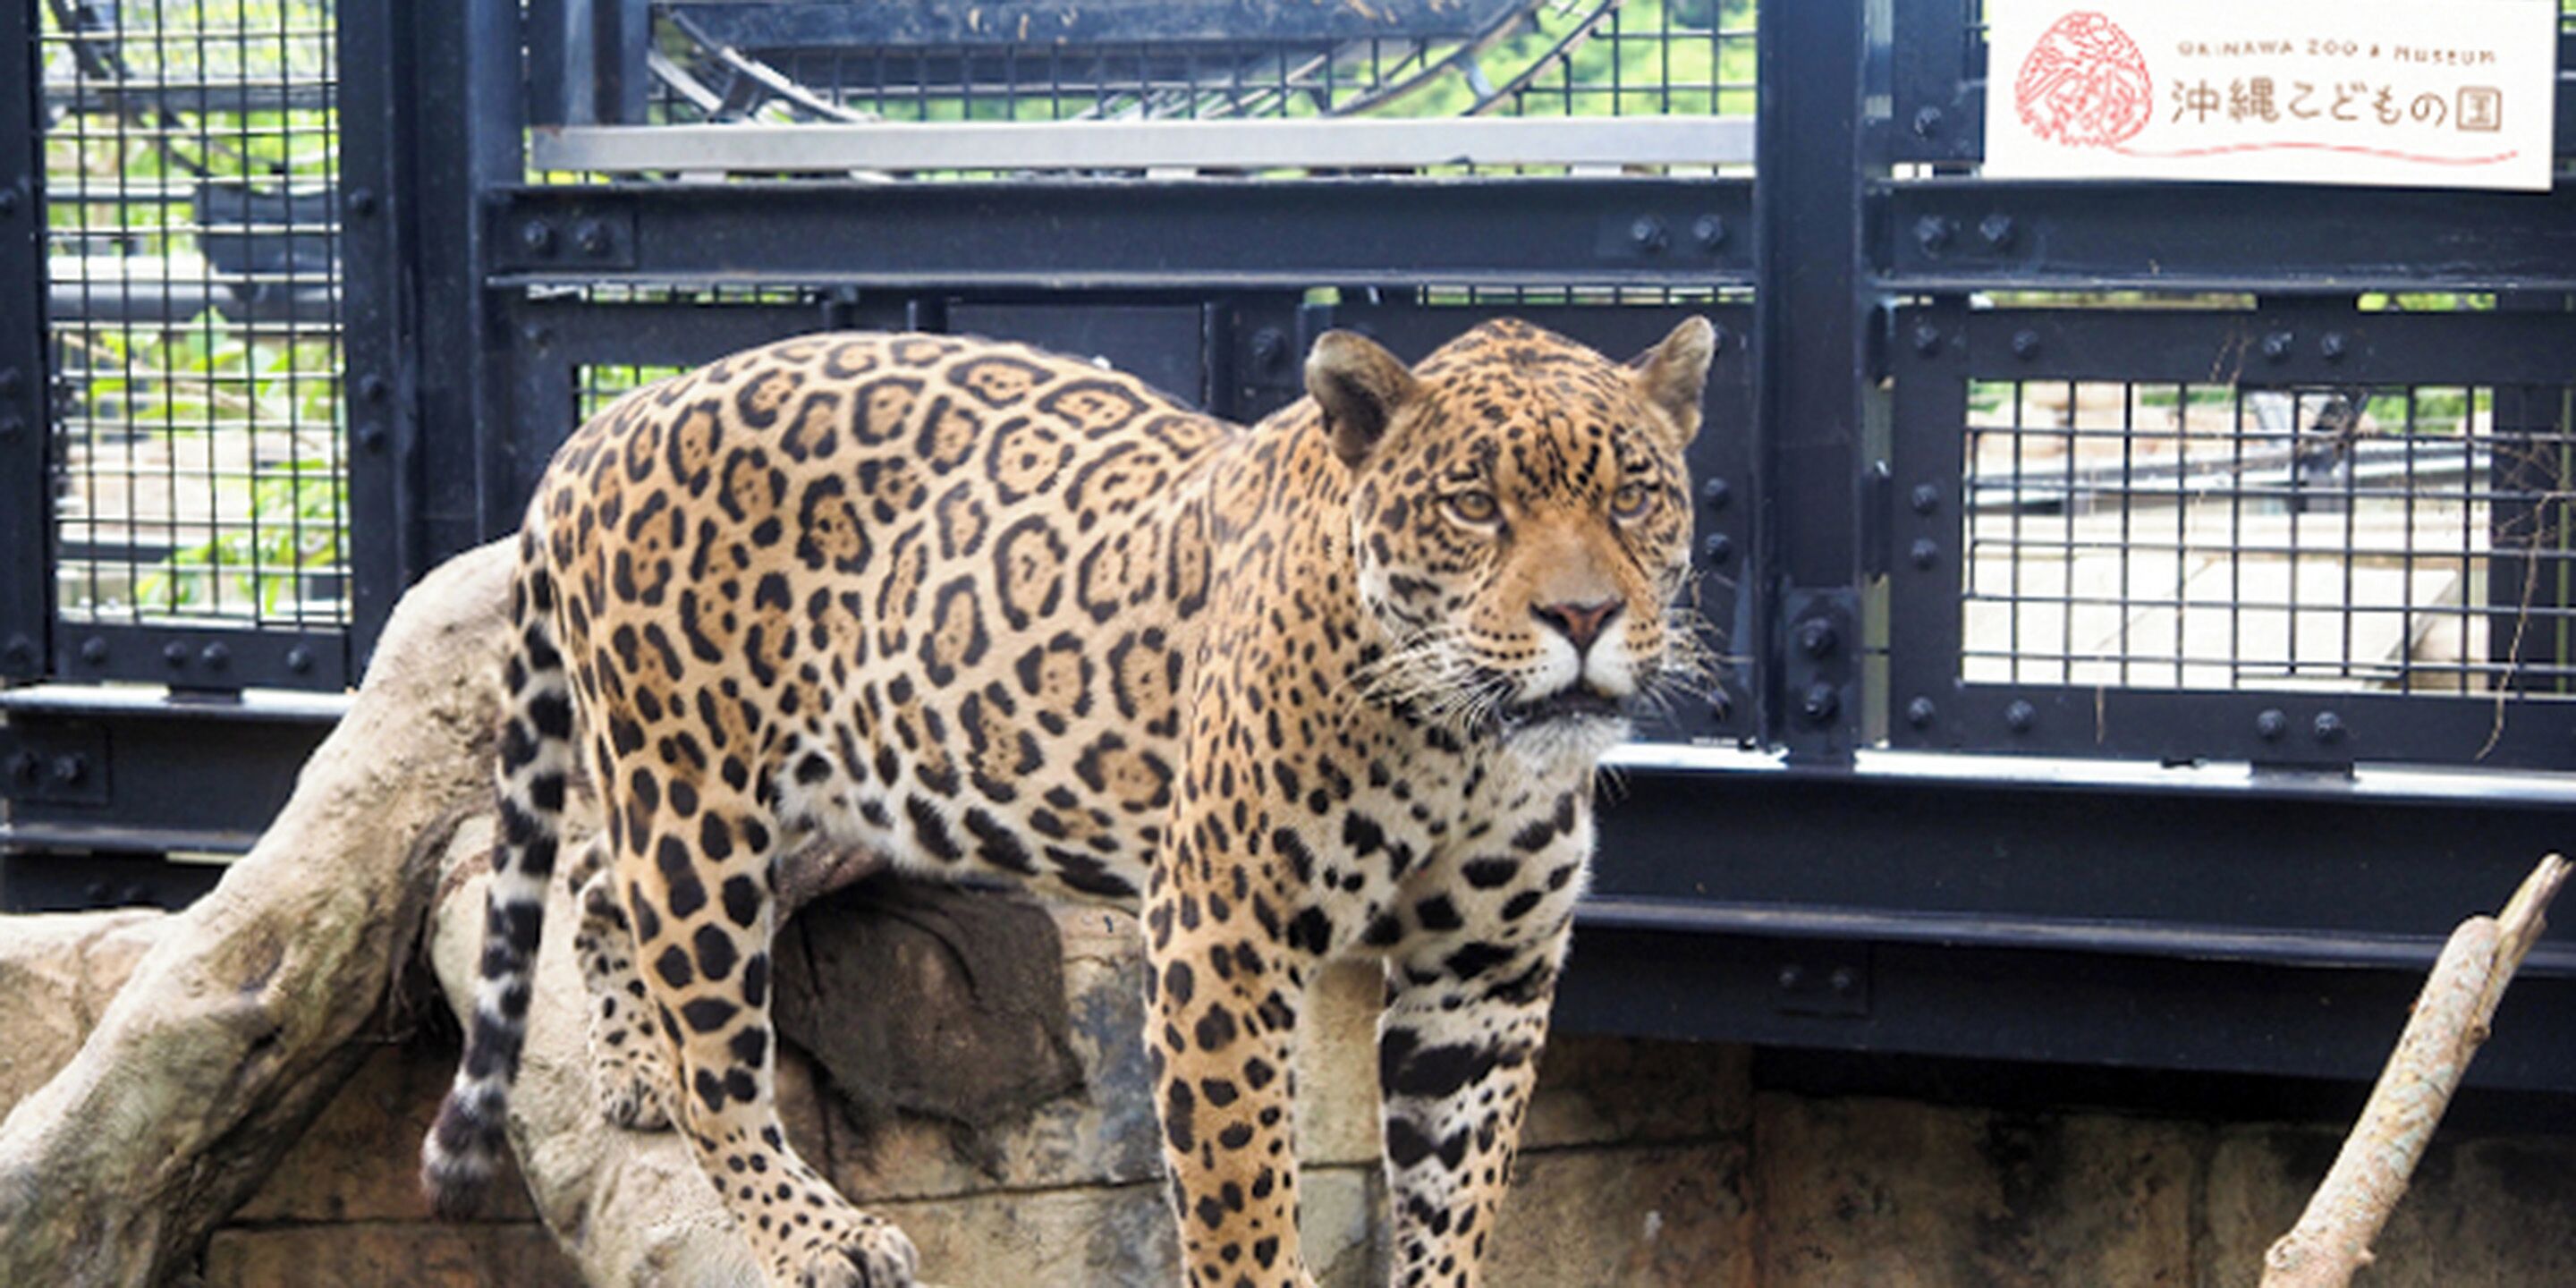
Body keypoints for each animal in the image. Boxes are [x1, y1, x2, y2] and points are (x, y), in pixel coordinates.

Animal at [420, 314, 1716, 1288]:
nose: (1585, 617)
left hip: (796, 802)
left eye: (1635, 498)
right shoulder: (1220, 939)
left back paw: (631, 1067)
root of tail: (608, 420)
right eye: (1473, 506)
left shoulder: (1485, 978)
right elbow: (1242, 1189)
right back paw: (814, 1230)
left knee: (599, 876)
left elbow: (1456, 1195)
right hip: (697, 795)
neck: (1465, 744)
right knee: (718, 1065)